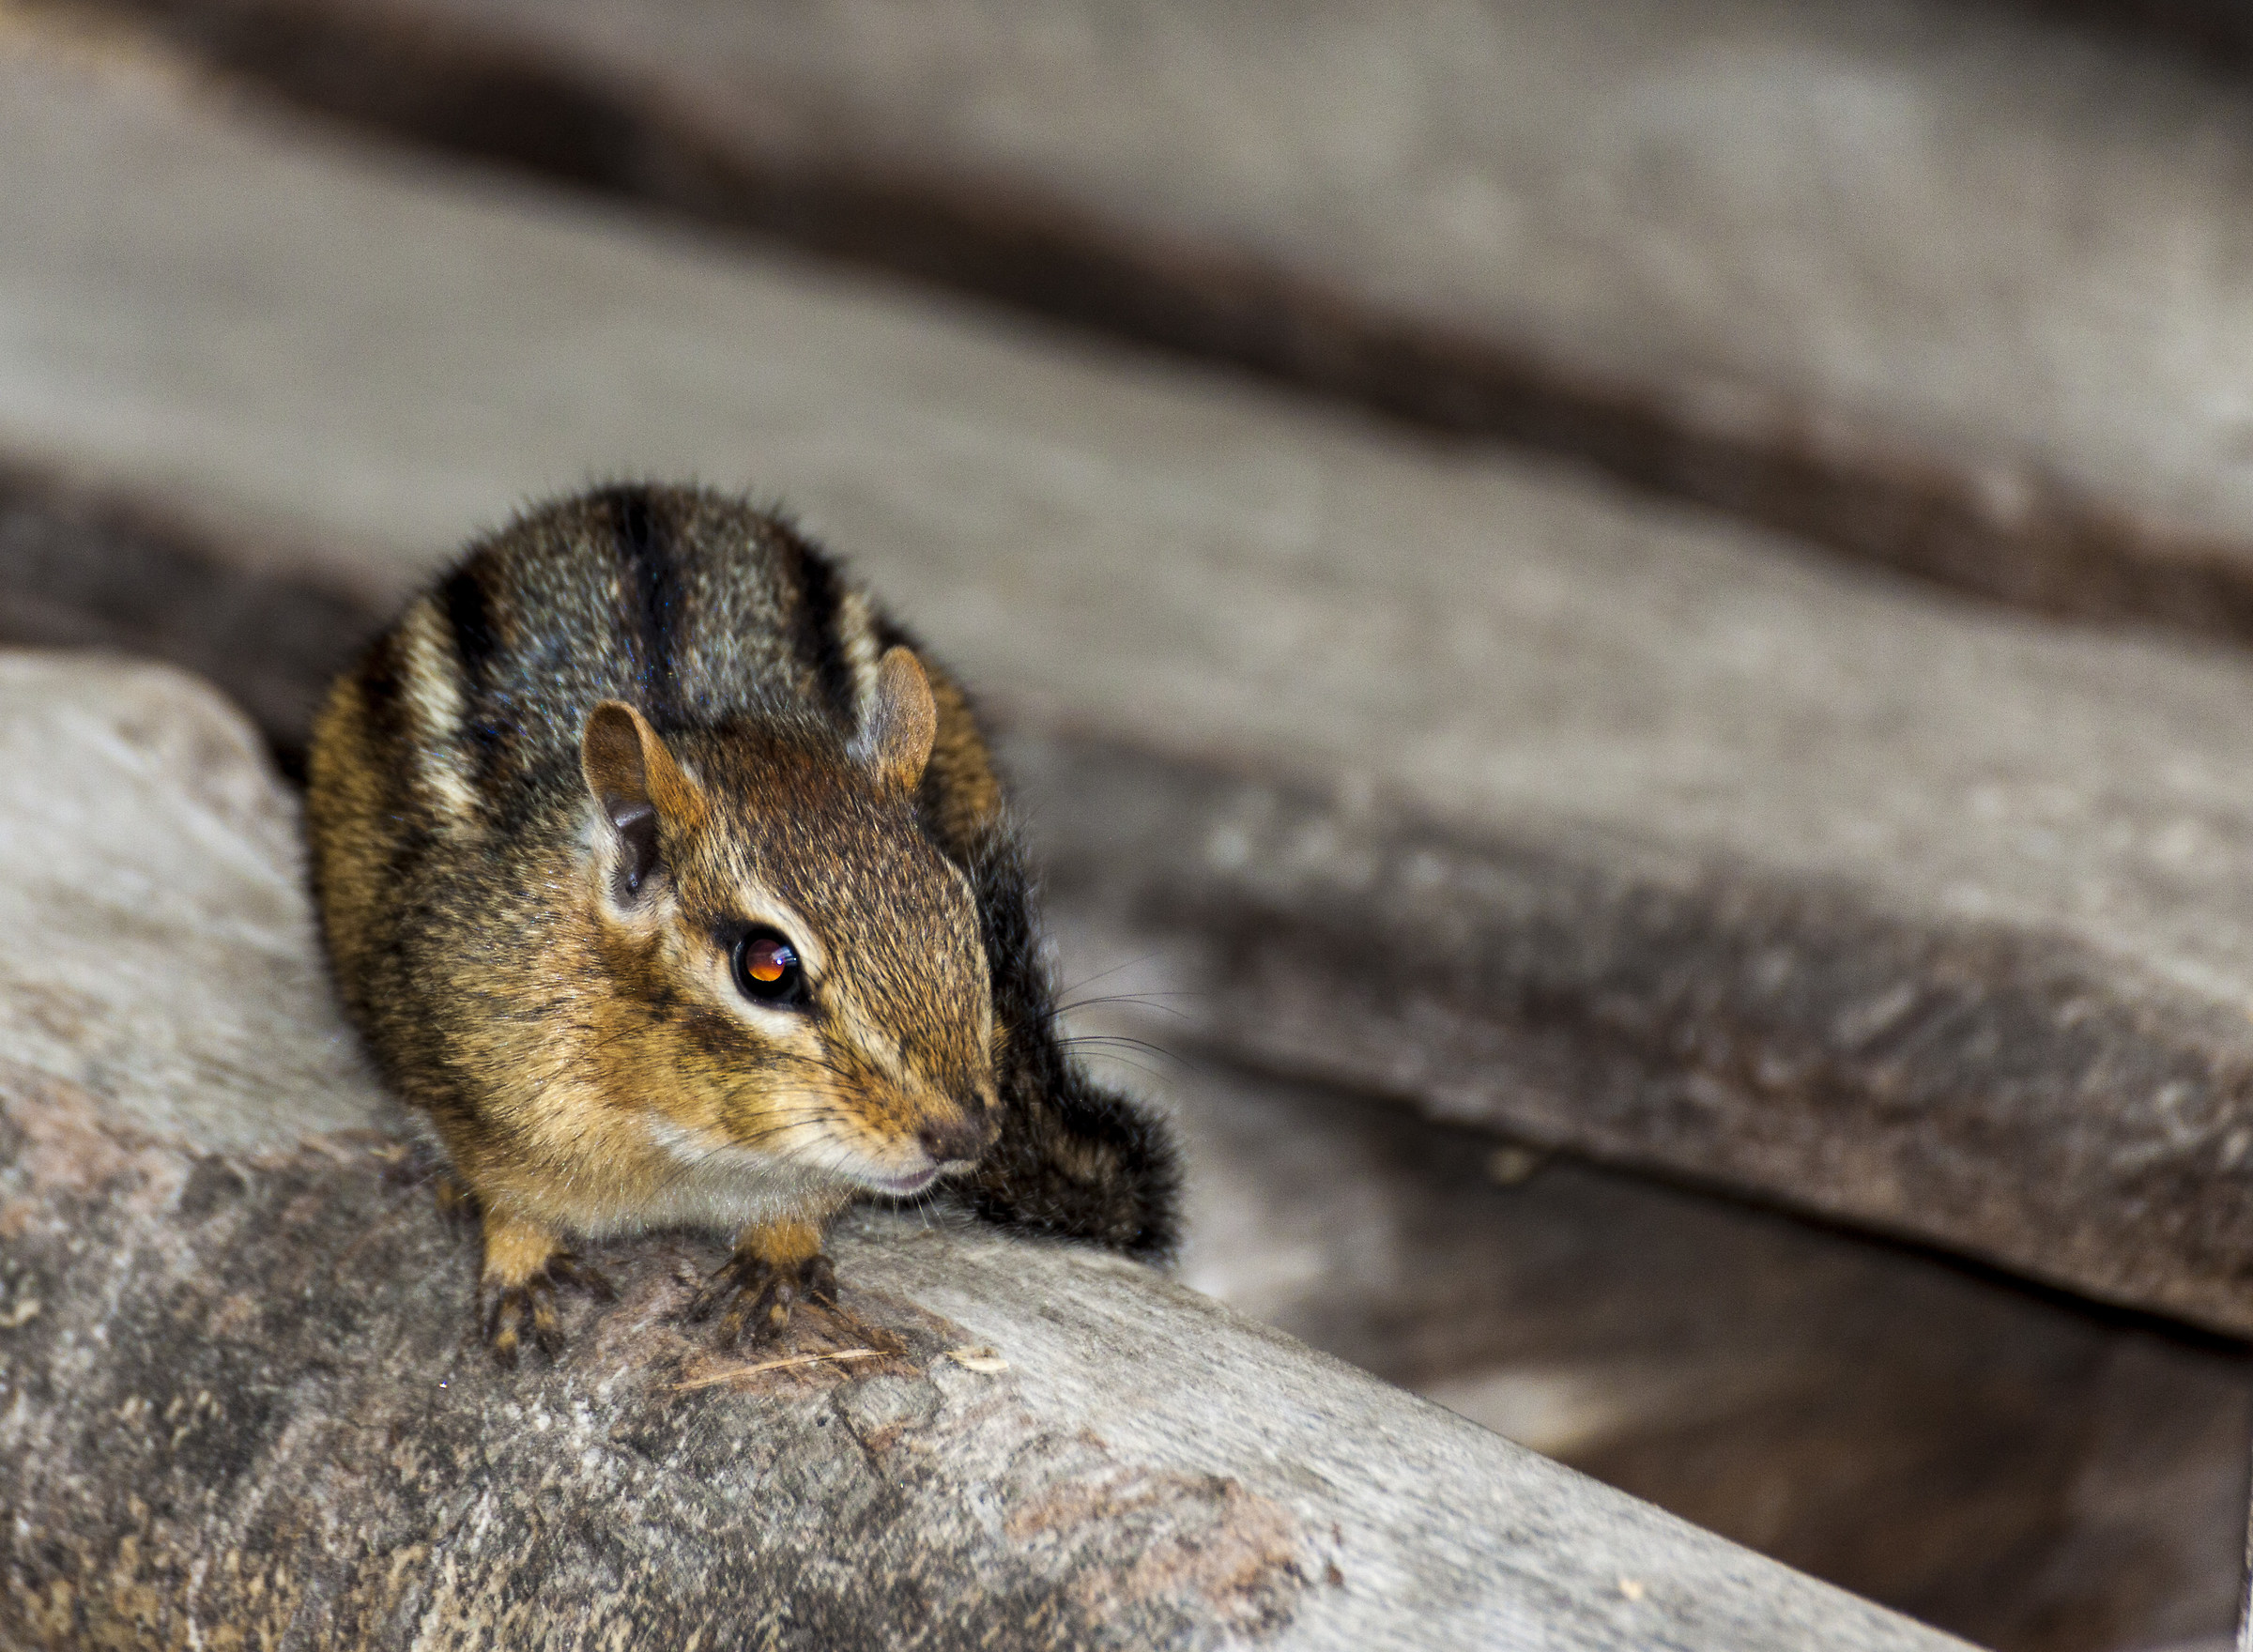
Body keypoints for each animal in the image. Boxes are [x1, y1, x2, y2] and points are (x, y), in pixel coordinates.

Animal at [305, 484, 1179, 1365]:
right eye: (766, 965)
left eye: (965, 922)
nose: (963, 1134)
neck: (684, 1140)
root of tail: (636, 493)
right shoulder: (471, 1083)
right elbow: (506, 1194)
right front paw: (518, 1262)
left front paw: (780, 1256)